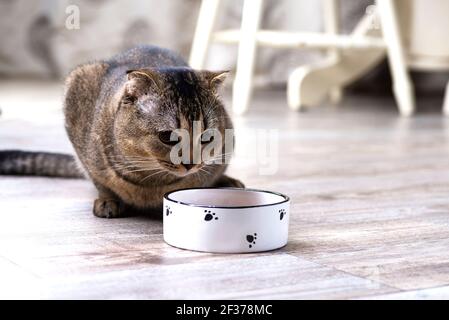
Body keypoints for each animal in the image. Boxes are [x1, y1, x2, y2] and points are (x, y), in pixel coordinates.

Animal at [0, 45, 243, 218]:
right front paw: (107, 200)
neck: (150, 182)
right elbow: (99, 180)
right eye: (168, 137)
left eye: (207, 137)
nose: (191, 164)